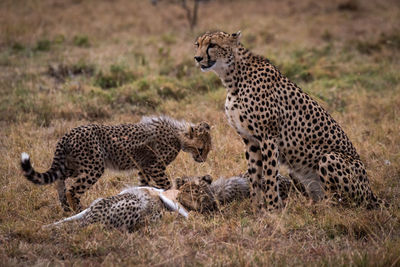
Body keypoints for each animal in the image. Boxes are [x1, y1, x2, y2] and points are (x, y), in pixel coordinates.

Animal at [21, 116, 212, 213]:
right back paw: (78, 209)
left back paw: (65, 207)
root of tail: (69, 133)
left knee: (59, 180)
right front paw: (171, 196)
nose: (203, 160)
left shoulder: (143, 167)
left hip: (73, 165)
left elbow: (143, 184)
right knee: (72, 189)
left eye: (207, 150)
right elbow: (165, 184)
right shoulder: (155, 167)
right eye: (201, 149)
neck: (179, 134)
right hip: (94, 166)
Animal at [195, 30, 386, 211]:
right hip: (296, 170)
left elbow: (269, 175)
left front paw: (273, 209)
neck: (233, 77)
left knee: (341, 203)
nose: (197, 58)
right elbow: (254, 176)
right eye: (197, 44)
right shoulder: (250, 140)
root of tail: (370, 191)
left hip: (329, 158)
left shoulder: (268, 137)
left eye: (212, 45)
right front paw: (256, 208)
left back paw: (322, 210)